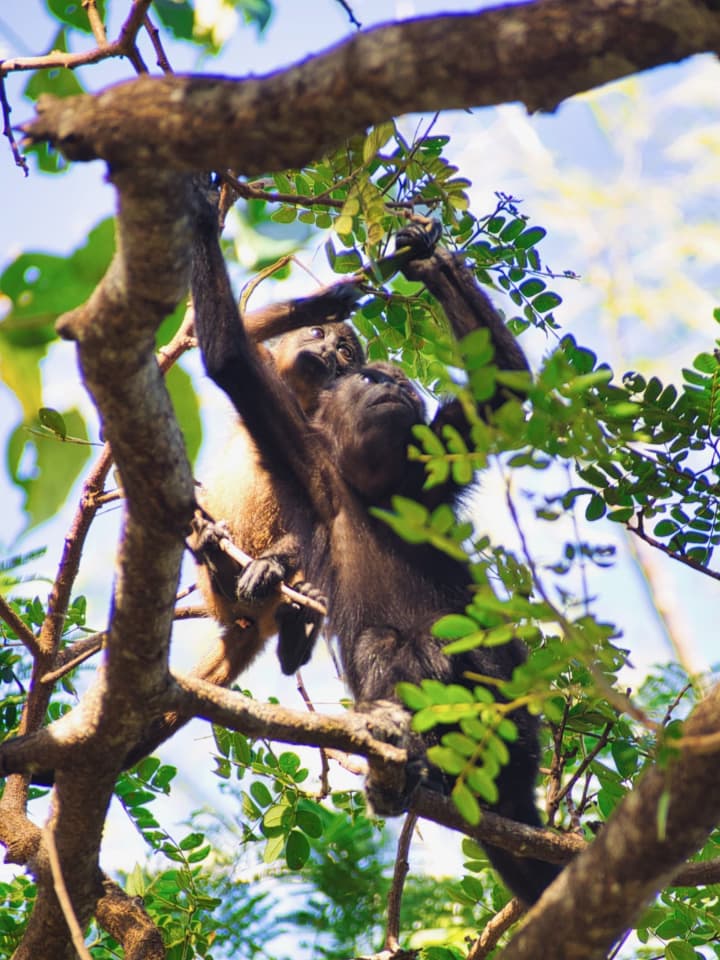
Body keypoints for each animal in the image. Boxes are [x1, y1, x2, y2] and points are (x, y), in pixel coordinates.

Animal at [194, 218, 564, 908]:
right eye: (371, 382)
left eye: (405, 385)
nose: (395, 388)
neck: (377, 489)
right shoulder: (308, 465)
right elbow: (230, 358)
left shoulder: (435, 469)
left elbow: (503, 387)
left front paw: (428, 258)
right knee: (386, 643)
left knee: (479, 642)